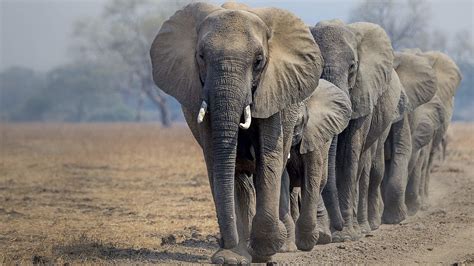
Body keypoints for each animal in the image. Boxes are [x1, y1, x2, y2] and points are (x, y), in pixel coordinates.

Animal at [150, 1, 324, 264]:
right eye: (201, 56)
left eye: (259, 60)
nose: (226, 242)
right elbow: (218, 161)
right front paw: (230, 257)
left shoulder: (272, 90)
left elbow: (269, 158)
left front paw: (265, 249)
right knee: (238, 178)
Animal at [310, 19, 402, 242]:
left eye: (353, 66)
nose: (338, 226)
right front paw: (329, 235)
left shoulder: (364, 90)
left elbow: (348, 155)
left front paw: (345, 236)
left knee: (366, 168)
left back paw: (366, 227)